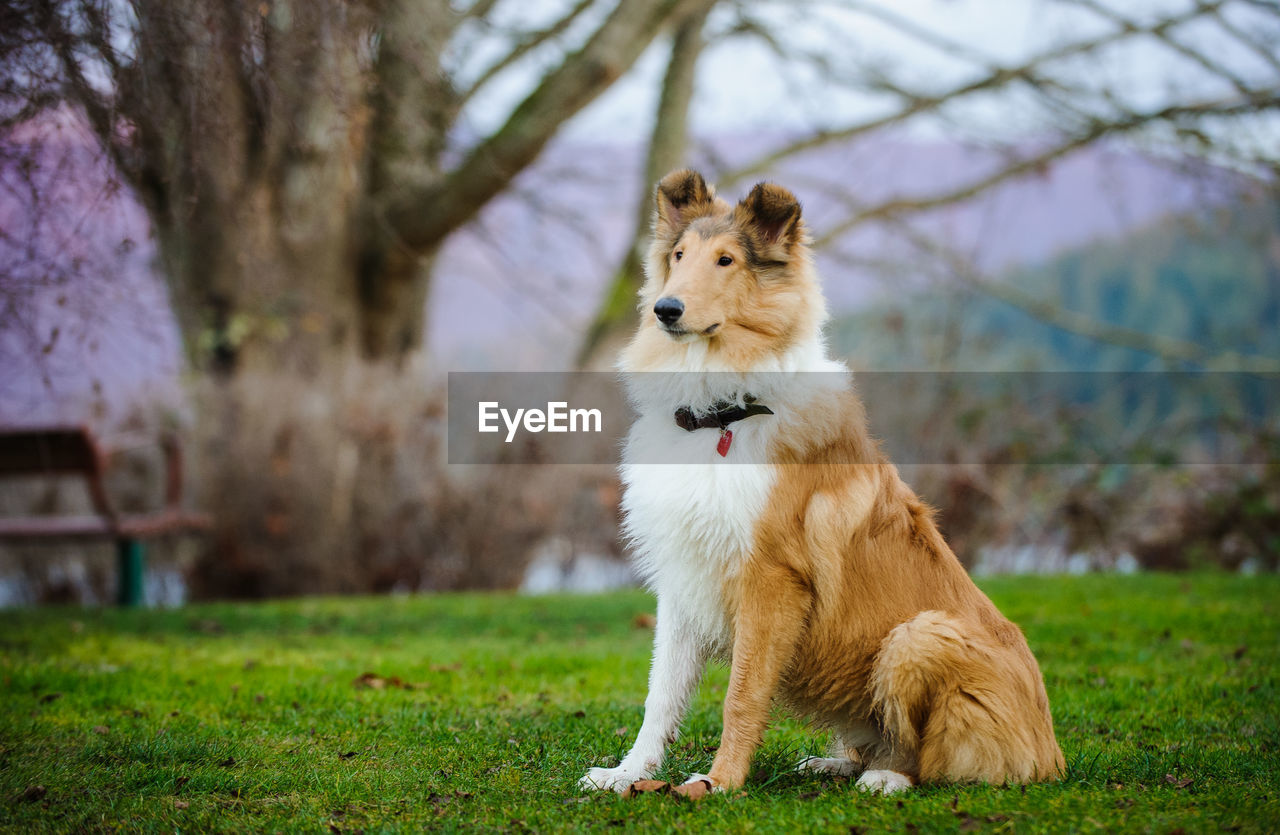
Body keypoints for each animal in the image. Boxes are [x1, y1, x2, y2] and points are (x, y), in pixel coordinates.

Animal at [581, 169, 1059, 794]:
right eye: (679, 256)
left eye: (727, 260)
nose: (665, 308)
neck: (724, 412)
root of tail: (1051, 751)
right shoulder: (686, 575)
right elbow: (660, 697)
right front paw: (627, 774)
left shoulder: (771, 579)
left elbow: (741, 695)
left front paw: (718, 785)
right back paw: (835, 762)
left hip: (918, 636)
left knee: (927, 757)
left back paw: (887, 778)